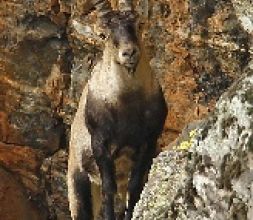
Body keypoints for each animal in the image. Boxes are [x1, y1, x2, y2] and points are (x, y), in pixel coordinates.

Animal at [67, 0, 168, 219]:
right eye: (102, 34)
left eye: (138, 24)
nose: (129, 52)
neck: (127, 103)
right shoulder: (100, 144)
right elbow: (108, 189)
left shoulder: (148, 142)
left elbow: (135, 187)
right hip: (78, 181)